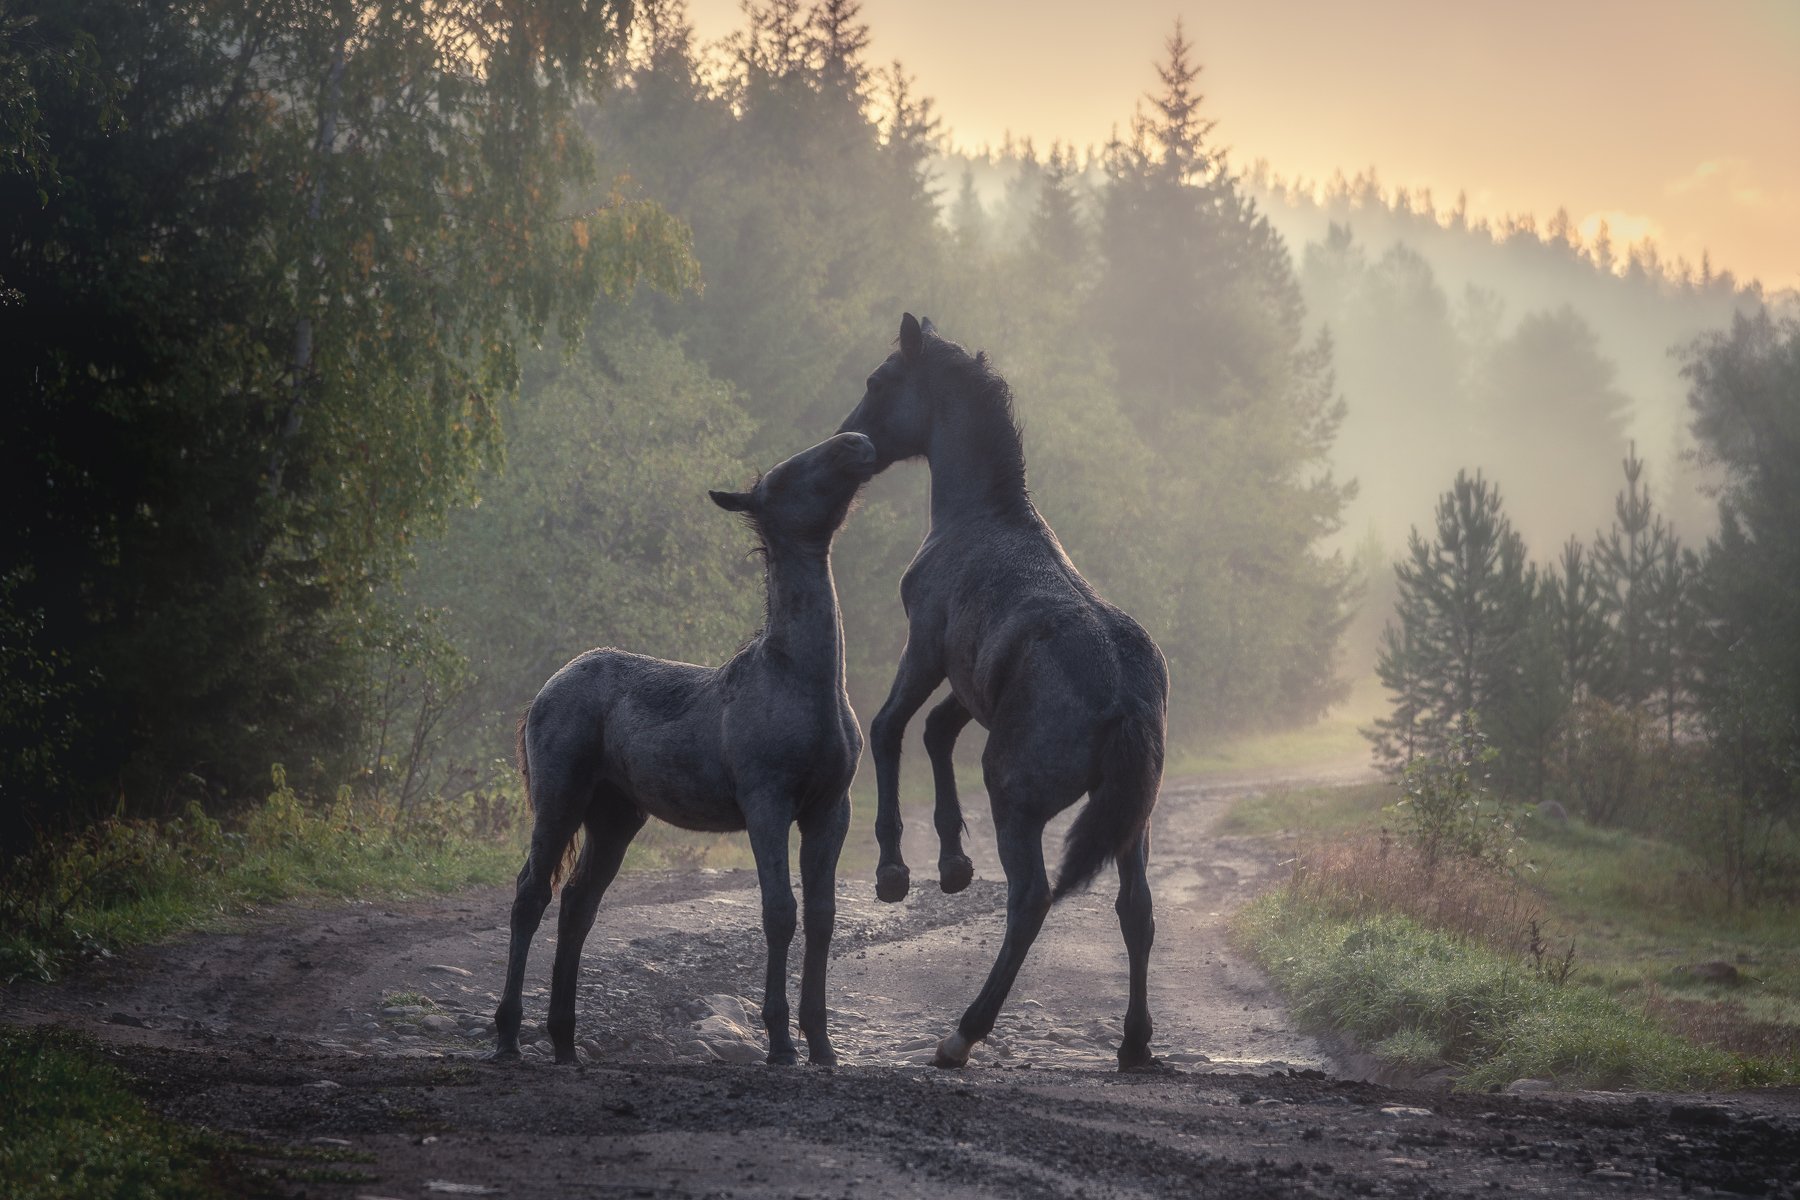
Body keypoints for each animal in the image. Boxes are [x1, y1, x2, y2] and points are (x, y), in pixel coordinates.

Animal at [500, 433, 878, 1072]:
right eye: (789, 474)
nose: (858, 443)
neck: (805, 683)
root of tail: (548, 688)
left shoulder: (832, 810)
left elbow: (823, 918)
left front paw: (823, 1046)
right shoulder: (767, 805)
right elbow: (780, 911)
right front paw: (780, 1043)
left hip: (615, 816)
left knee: (577, 905)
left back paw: (566, 1043)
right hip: (560, 802)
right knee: (532, 896)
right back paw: (506, 1037)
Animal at [838, 313, 1166, 1072]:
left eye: (880, 380)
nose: (851, 443)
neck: (985, 517)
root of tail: (1127, 700)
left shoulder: (925, 650)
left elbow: (891, 727)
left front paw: (894, 871)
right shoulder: (969, 683)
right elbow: (936, 732)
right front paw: (953, 863)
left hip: (1015, 799)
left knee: (1031, 901)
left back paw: (963, 1033)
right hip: (1132, 822)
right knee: (1136, 910)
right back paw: (1133, 1043)